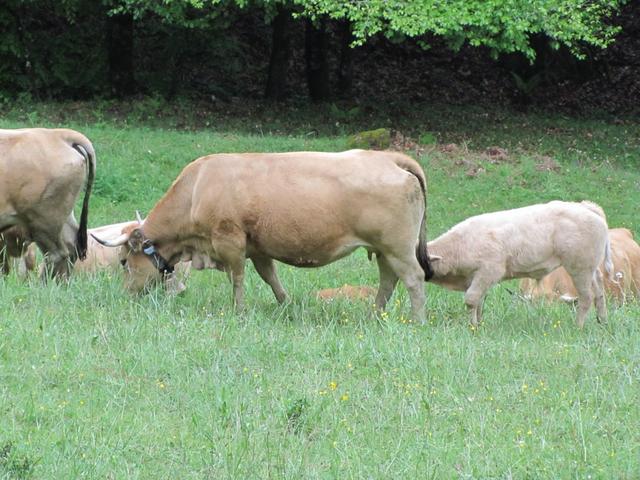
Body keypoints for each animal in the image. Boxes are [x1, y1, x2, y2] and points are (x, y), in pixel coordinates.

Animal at [92, 149, 432, 322]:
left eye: (123, 261)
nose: (127, 294)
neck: (197, 188)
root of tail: (388, 157)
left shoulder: (229, 241)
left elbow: (237, 279)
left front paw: (239, 311)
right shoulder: (257, 248)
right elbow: (270, 277)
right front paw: (286, 305)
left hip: (398, 248)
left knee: (413, 279)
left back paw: (417, 320)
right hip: (385, 250)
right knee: (388, 280)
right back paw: (375, 315)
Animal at [428, 201, 612, 328]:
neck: (460, 244)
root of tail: (586, 206)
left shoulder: (488, 272)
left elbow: (471, 299)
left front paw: (472, 327)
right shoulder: (476, 278)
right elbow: (479, 302)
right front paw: (478, 323)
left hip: (580, 269)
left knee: (586, 297)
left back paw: (578, 326)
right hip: (591, 270)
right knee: (599, 292)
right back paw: (602, 321)